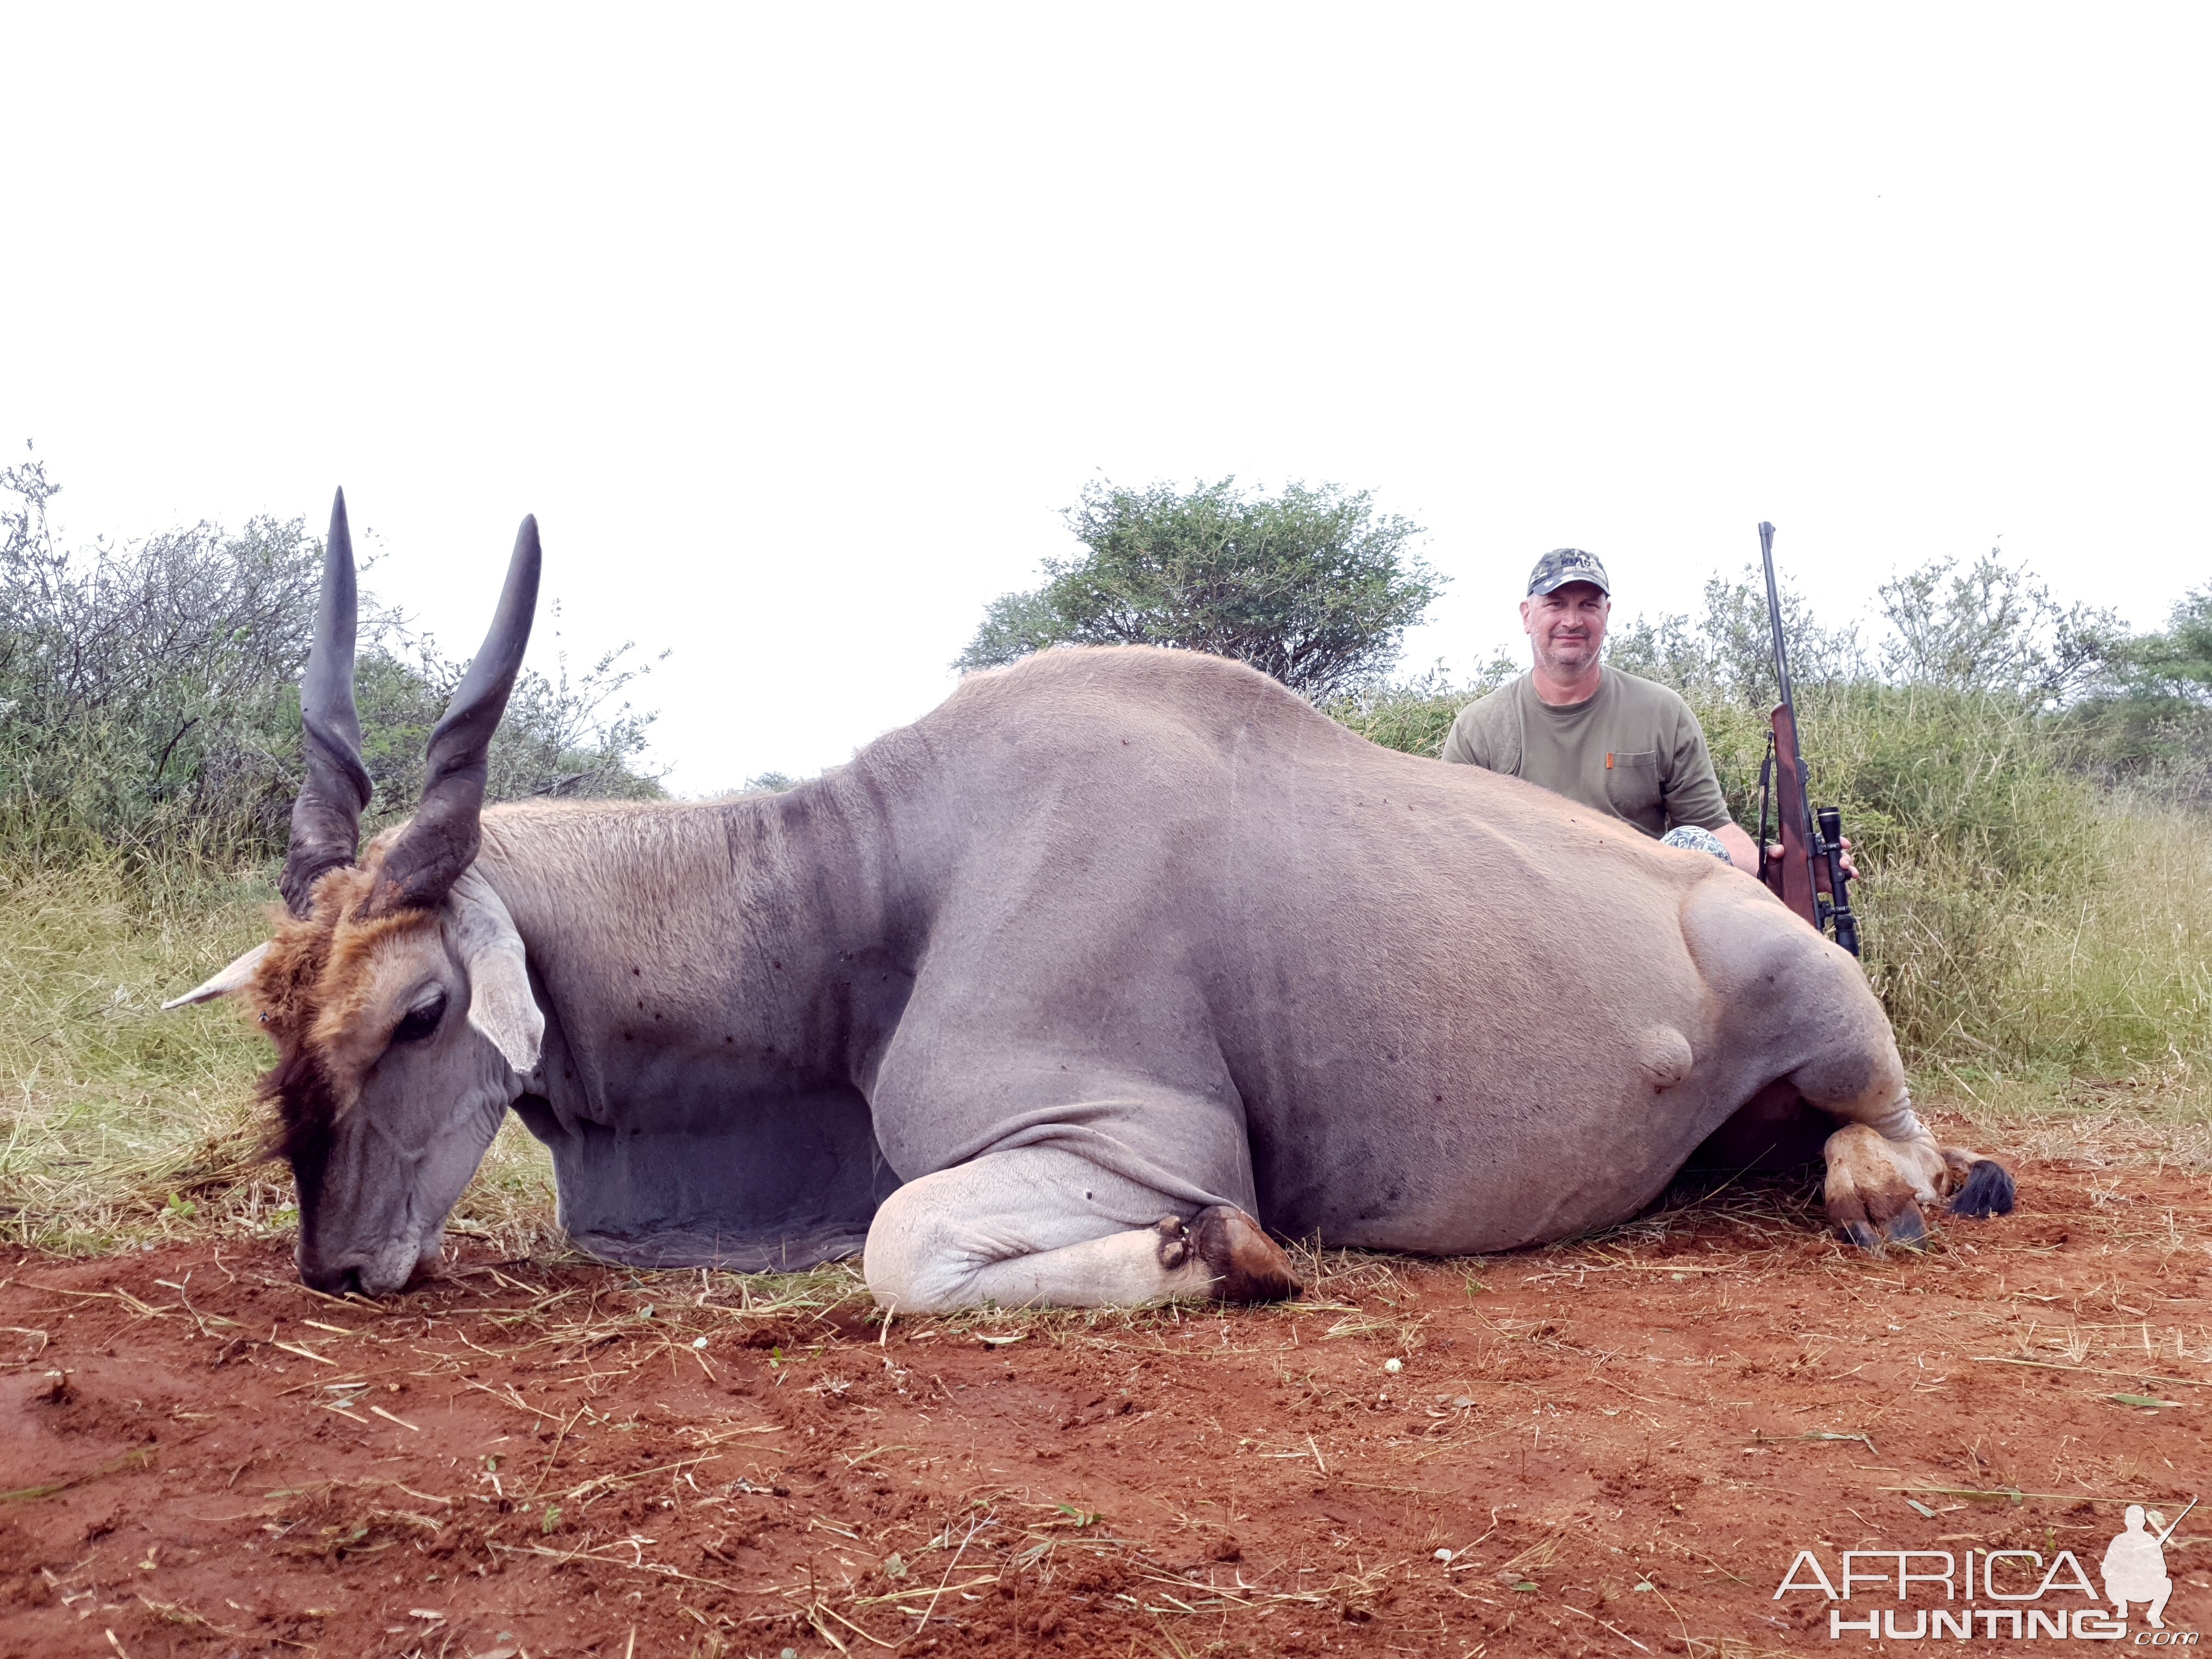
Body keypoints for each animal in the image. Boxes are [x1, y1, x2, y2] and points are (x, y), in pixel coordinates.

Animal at [168, 491, 2026, 1309]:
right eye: (278, 1018)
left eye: (421, 1011)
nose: (338, 1266)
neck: (867, 889)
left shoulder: (1135, 1138)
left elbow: (910, 1248)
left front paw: (1227, 1258)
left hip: (1817, 994)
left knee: (1903, 1129)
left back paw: (1882, 1191)